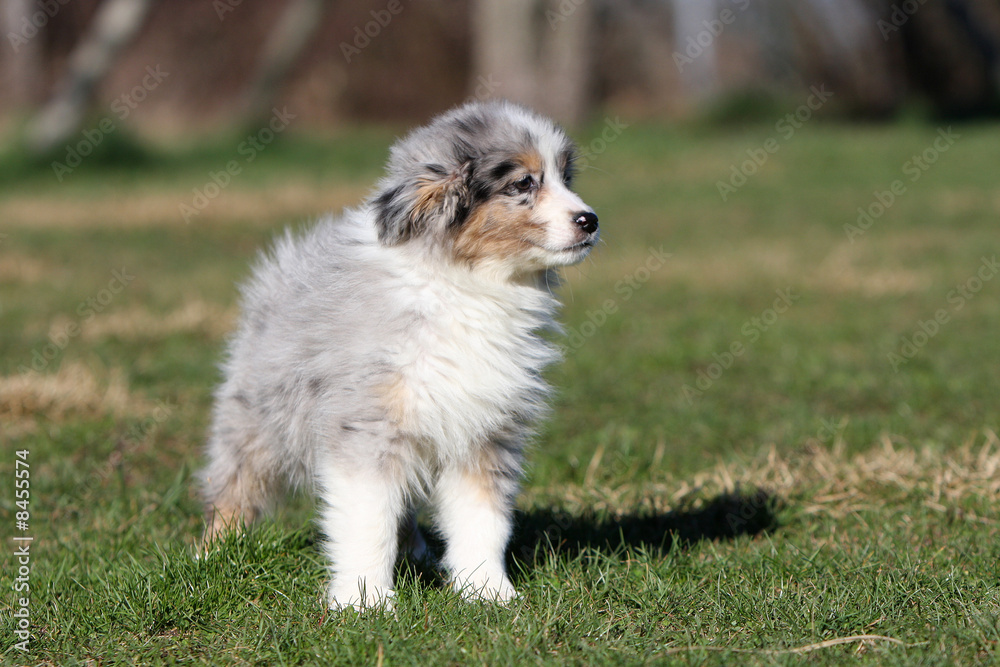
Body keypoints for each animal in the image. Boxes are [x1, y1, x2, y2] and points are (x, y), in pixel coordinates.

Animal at [199, 99, 596, 612]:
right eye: (524, 184)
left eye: (566, 178)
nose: (590, 220)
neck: (466, 285)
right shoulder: (367, 424)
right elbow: (367, 519)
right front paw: (364, 600)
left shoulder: (485, 430)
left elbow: (482, 517)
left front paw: (487, 590)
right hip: (256, 417)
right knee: (236, 482)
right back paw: (213, 553)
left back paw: (418, 552)